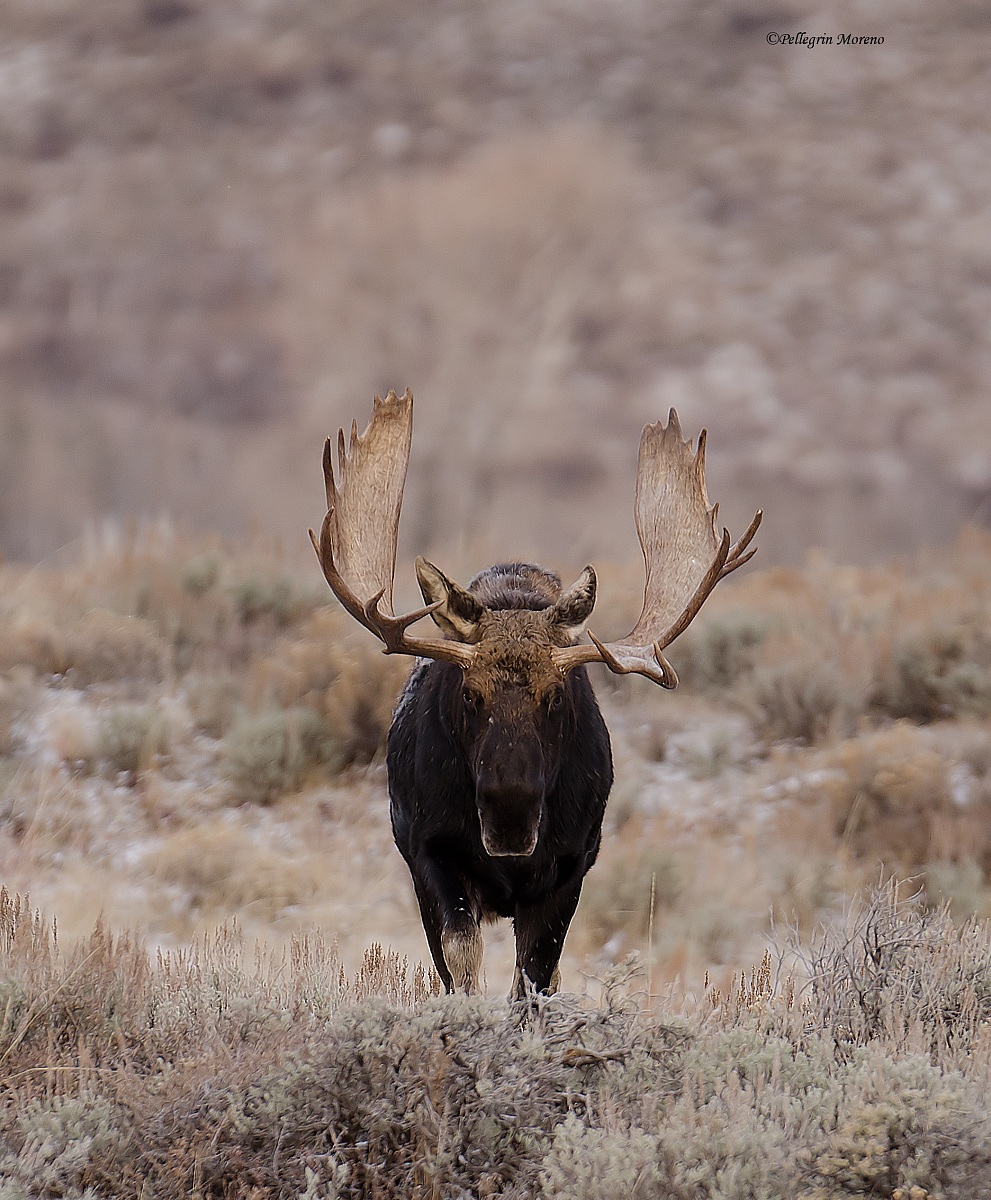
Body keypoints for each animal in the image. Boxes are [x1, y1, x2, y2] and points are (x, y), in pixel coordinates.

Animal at [310, 389, 760, 999]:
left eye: (557, 696)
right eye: (469, 694)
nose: (510, 813)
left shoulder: (571, 864)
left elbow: (534, 979)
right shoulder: (428, 849)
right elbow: (461, 963)